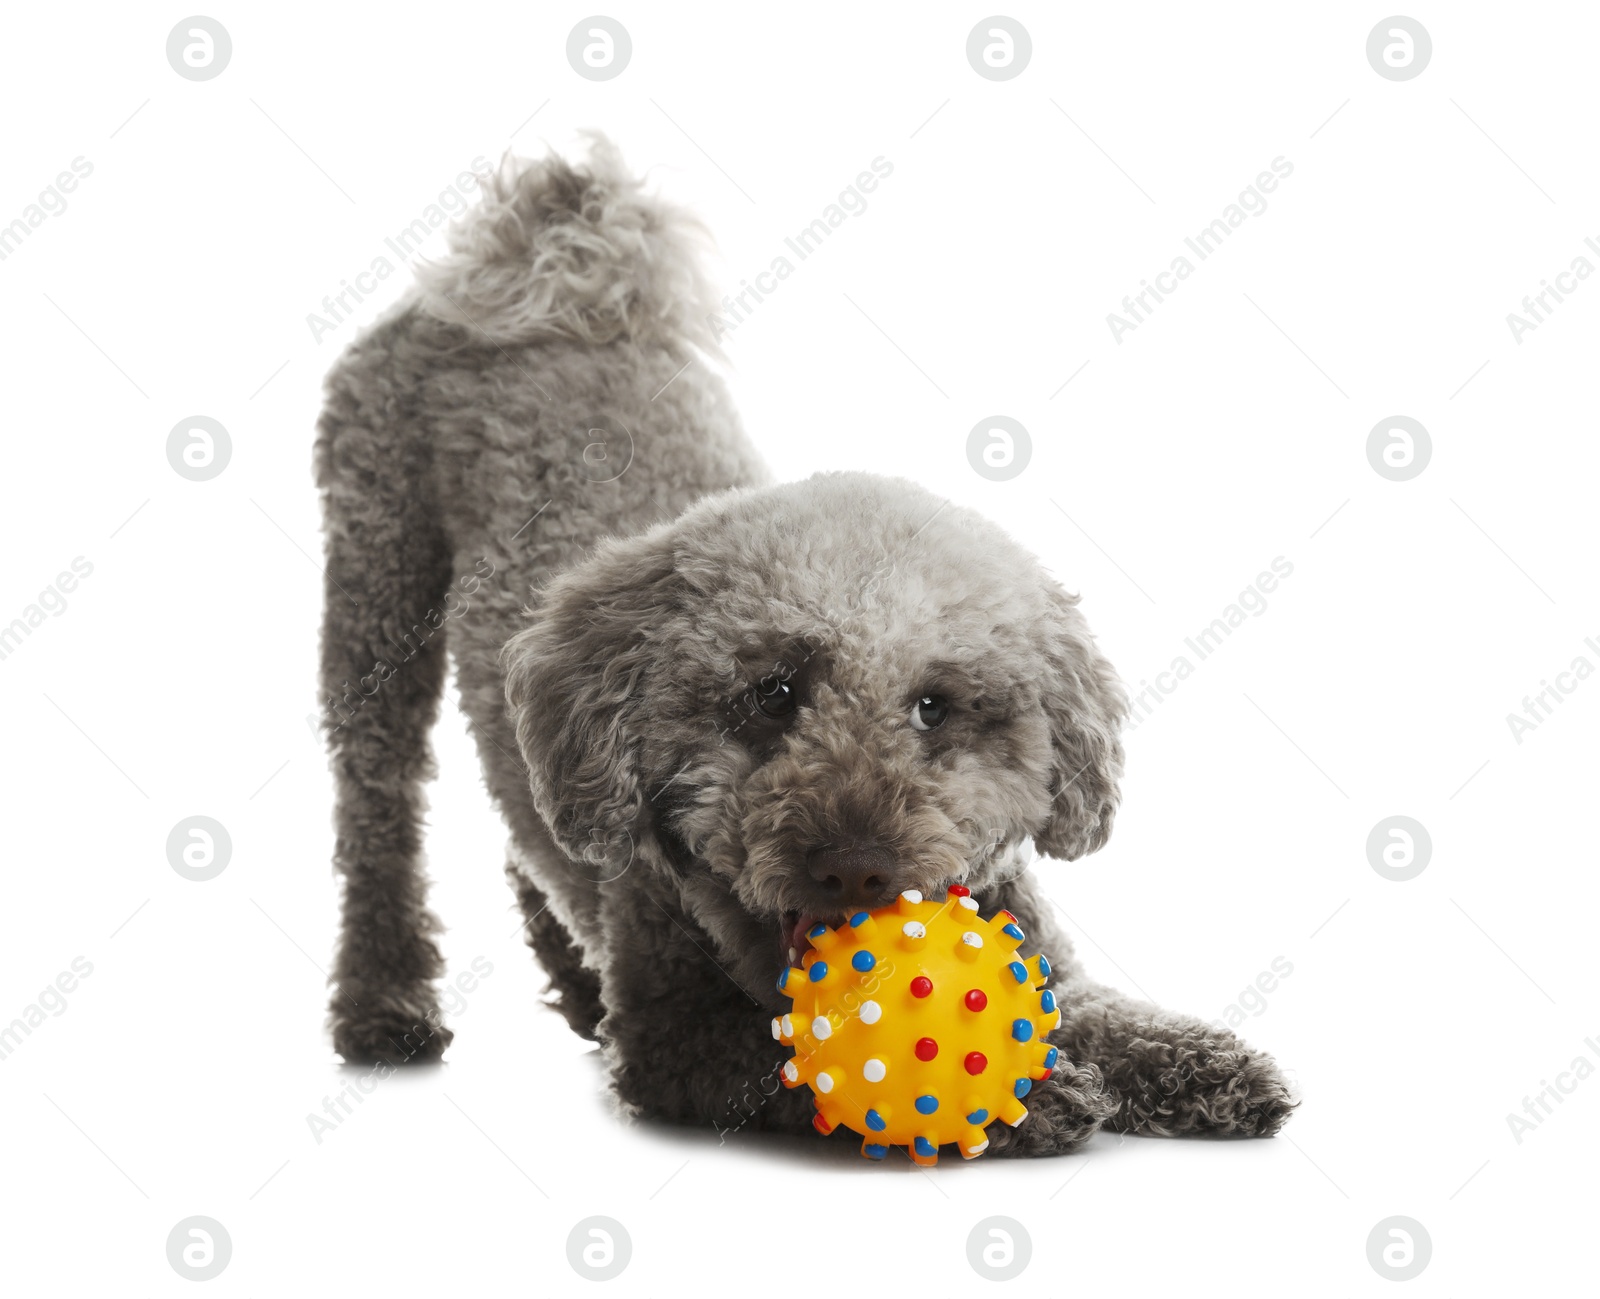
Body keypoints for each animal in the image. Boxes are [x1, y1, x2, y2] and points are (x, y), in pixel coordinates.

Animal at [315, 136, 1299, 1158]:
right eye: (770, 693)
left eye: (935, 705)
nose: (854, 866)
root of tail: (539, 255)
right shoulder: (679, 1042)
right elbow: (794, 1070)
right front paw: (1030, 1102)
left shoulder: (1051, 967)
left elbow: (1114, 1015)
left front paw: (1207, 1062)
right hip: (374, 591)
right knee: (379, 816)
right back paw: (383, 1006)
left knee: (523, 826)